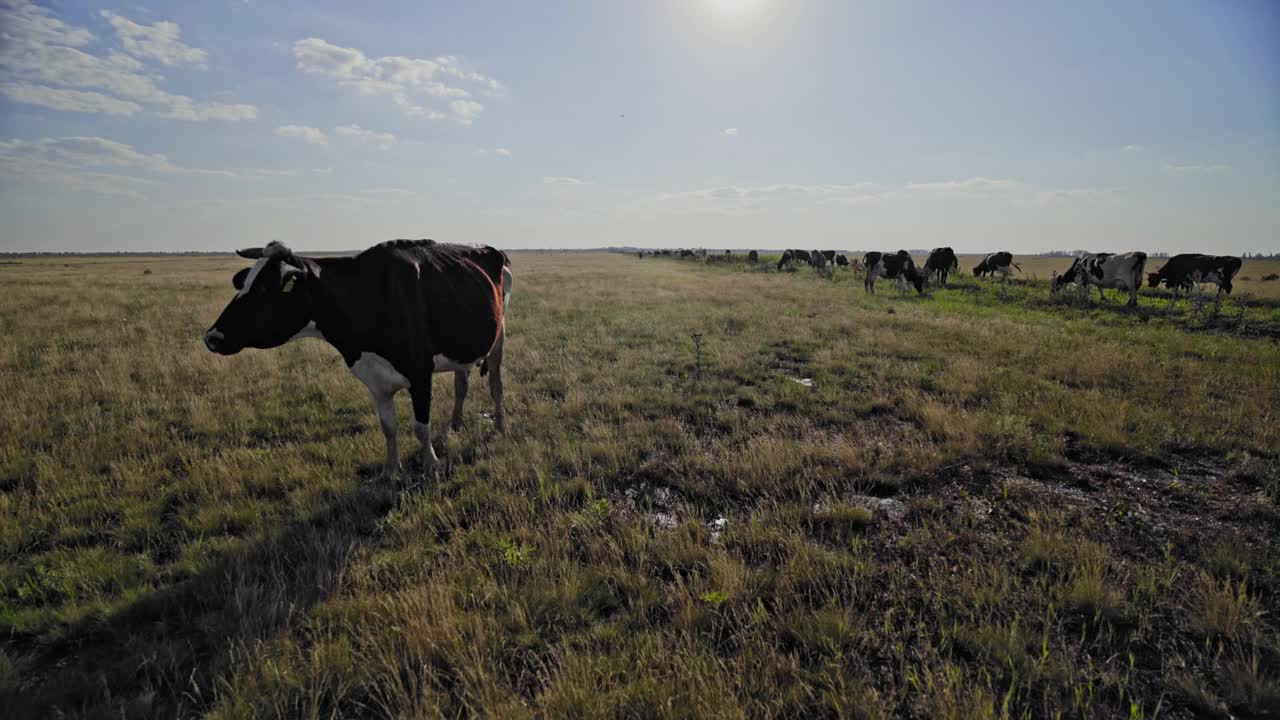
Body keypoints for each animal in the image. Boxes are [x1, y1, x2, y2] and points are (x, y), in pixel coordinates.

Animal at [202, 238, 512, 479]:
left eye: (265, 289)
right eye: (244, 284)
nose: (212, 337)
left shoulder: (420, 373)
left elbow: (421, 427)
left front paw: (431, 466)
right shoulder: (374, 378)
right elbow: (388, 427)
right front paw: (390, 471)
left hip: (499, 335)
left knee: (495, 383)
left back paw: (500, 425)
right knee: (461, 382)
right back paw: (455, 425)